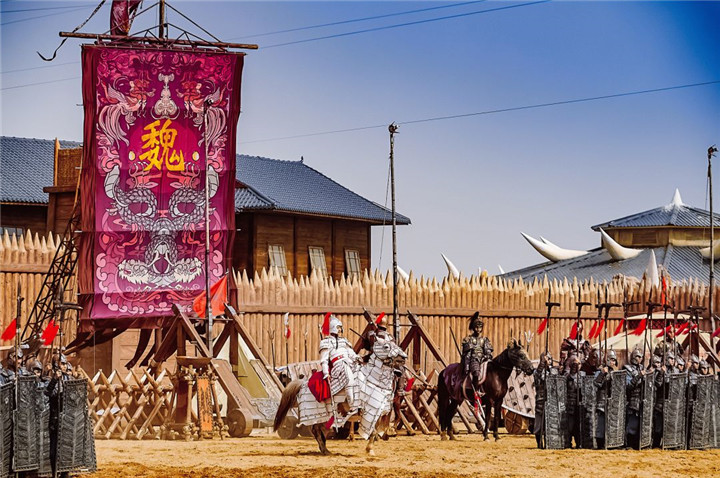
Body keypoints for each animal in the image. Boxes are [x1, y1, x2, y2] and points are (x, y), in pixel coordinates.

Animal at [273, 336, 407, 455]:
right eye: (386, 346)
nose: (404, 357)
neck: (372, 380)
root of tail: (303, 383)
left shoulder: (378, 413)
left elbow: (376, 432)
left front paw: (372, 448)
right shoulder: (369, 412)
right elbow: (373, 432)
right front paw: (369, 450)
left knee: (319, 430)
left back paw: (325, 449)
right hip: (317, 414)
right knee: (315, 430)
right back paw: (325, 450)